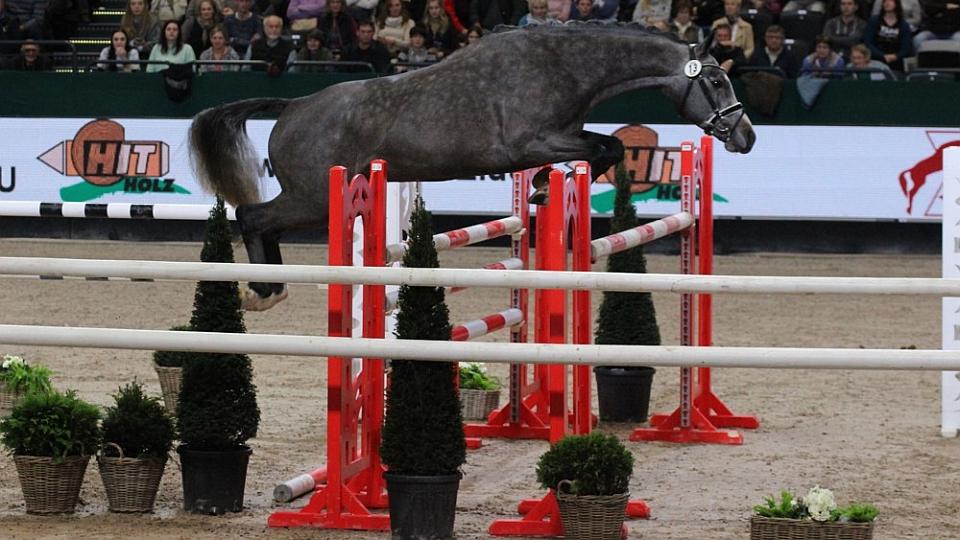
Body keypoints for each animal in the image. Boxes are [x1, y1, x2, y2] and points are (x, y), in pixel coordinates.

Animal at [189, 22, 756, 311]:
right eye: (717, 81)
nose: (746, 137)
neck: (565, 66)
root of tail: (293, 106)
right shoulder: (532, 141)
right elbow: (607, 149)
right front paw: (545, 189)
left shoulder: (556, 139)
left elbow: (603, 149)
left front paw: (542, 190)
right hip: (311, 197)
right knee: (253, 217)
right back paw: (264, 290)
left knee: (260, 219)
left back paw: (270, 286)